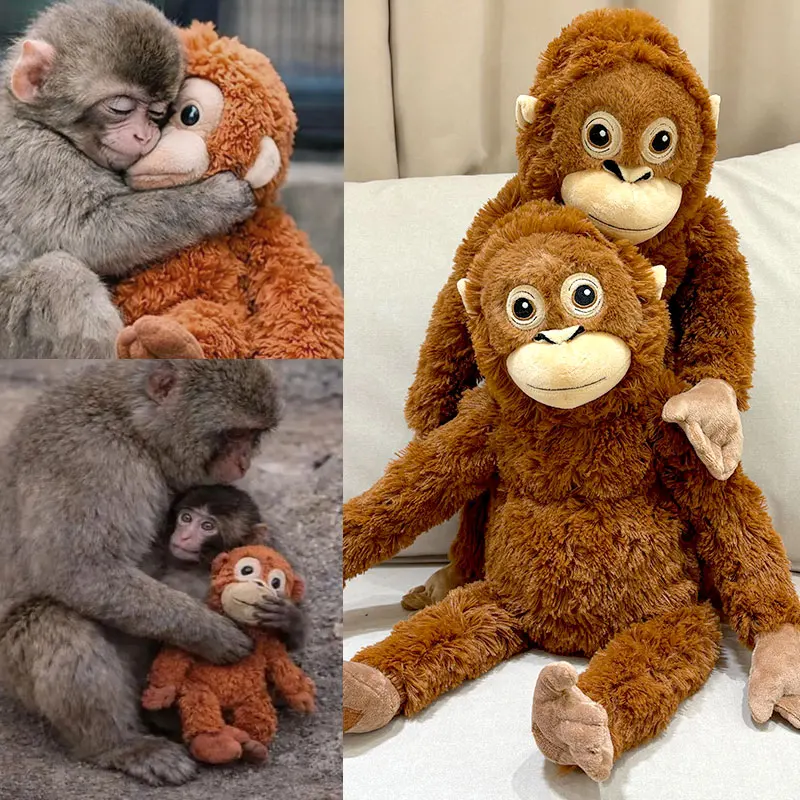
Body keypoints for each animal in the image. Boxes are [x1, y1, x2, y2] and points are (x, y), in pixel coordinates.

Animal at [0, 0, 257, 359]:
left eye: (157, 113)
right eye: (120, 108)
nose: (144, 135)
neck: (33, 118)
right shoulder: (33, 158)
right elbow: (87, 232)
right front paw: (218, 198)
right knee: (60, 277)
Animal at [0, 360, 280, 786]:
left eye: (252, 436)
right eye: (234, 434)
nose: (244, 462)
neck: (133, 427)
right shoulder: (99, 462)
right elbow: (79, 570)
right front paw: (211, 633)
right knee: (54, 621)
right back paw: (120, 745)